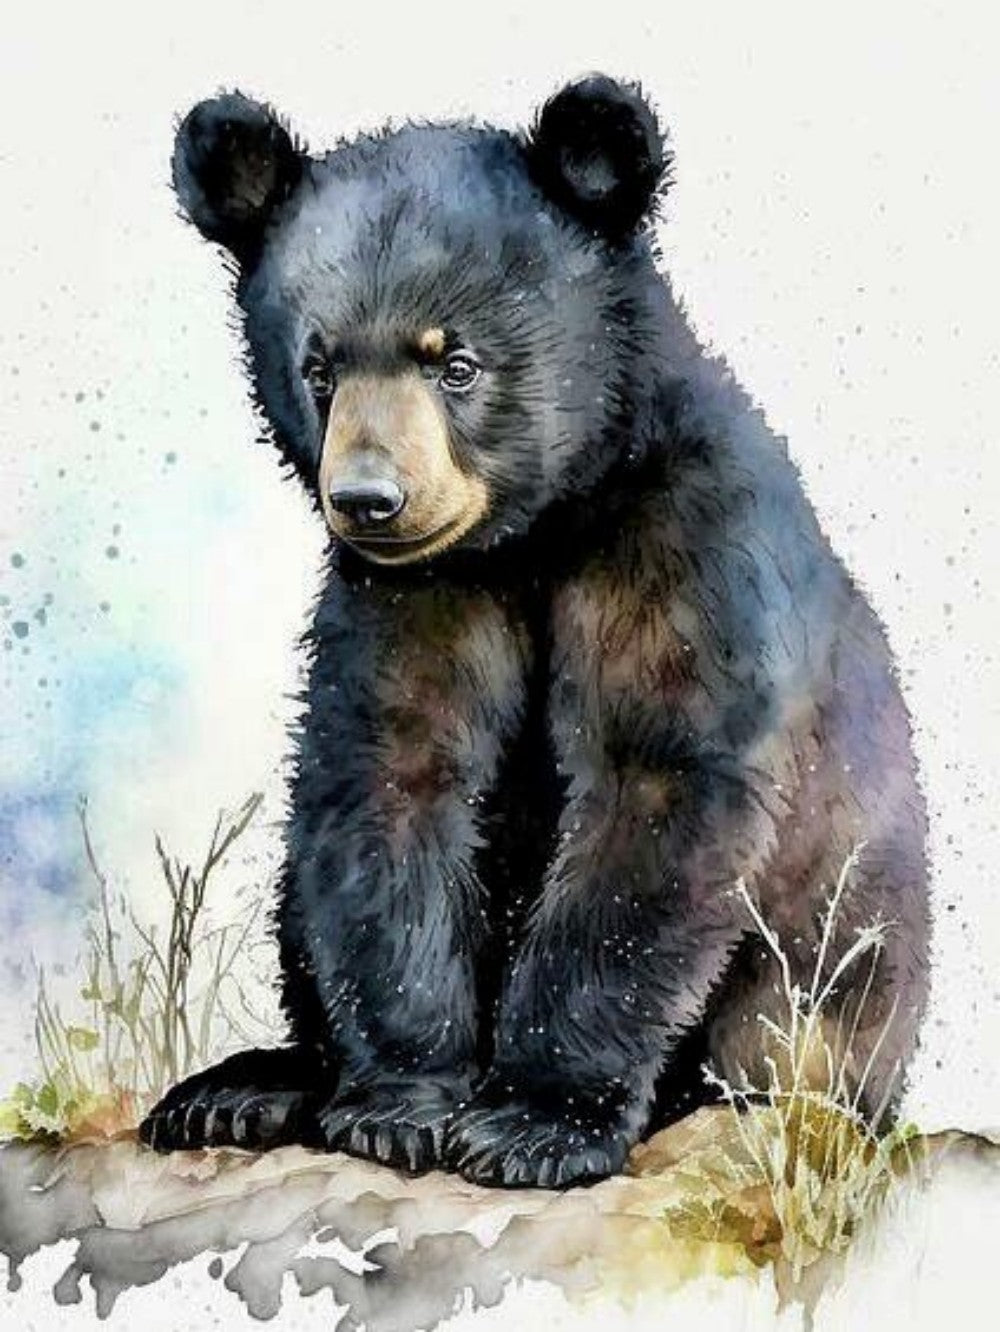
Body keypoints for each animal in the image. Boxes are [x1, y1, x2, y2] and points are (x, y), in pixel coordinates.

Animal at [140, 75, 930, 1188]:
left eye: (455, 363)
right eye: (321, 367)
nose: (368, 499)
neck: (536, 530)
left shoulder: (686, 549)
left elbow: (655, 791)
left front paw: (535, 1123)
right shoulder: (415, 593)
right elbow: (397, 777)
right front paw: (398, 1105)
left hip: (841, 961)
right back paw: (243, 1089)